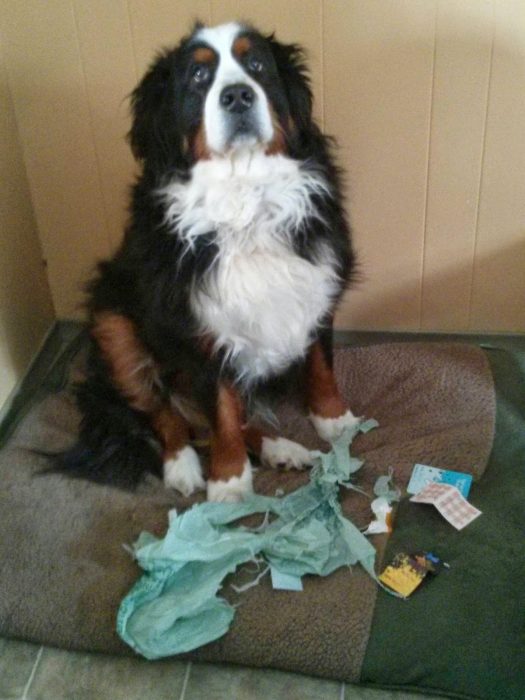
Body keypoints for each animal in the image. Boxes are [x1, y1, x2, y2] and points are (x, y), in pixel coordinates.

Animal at [59, 21, 358, 504]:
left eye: (256, 64)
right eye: (198, 77)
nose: (237, 95)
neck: (245, 196)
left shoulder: (318, 283)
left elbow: (319, 365)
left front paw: (335, 419)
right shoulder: (198, 326)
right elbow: (220, 410)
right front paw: (230, 479)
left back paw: (281, 448)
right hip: (113, 324)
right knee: (163, 412)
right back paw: (182, 465)